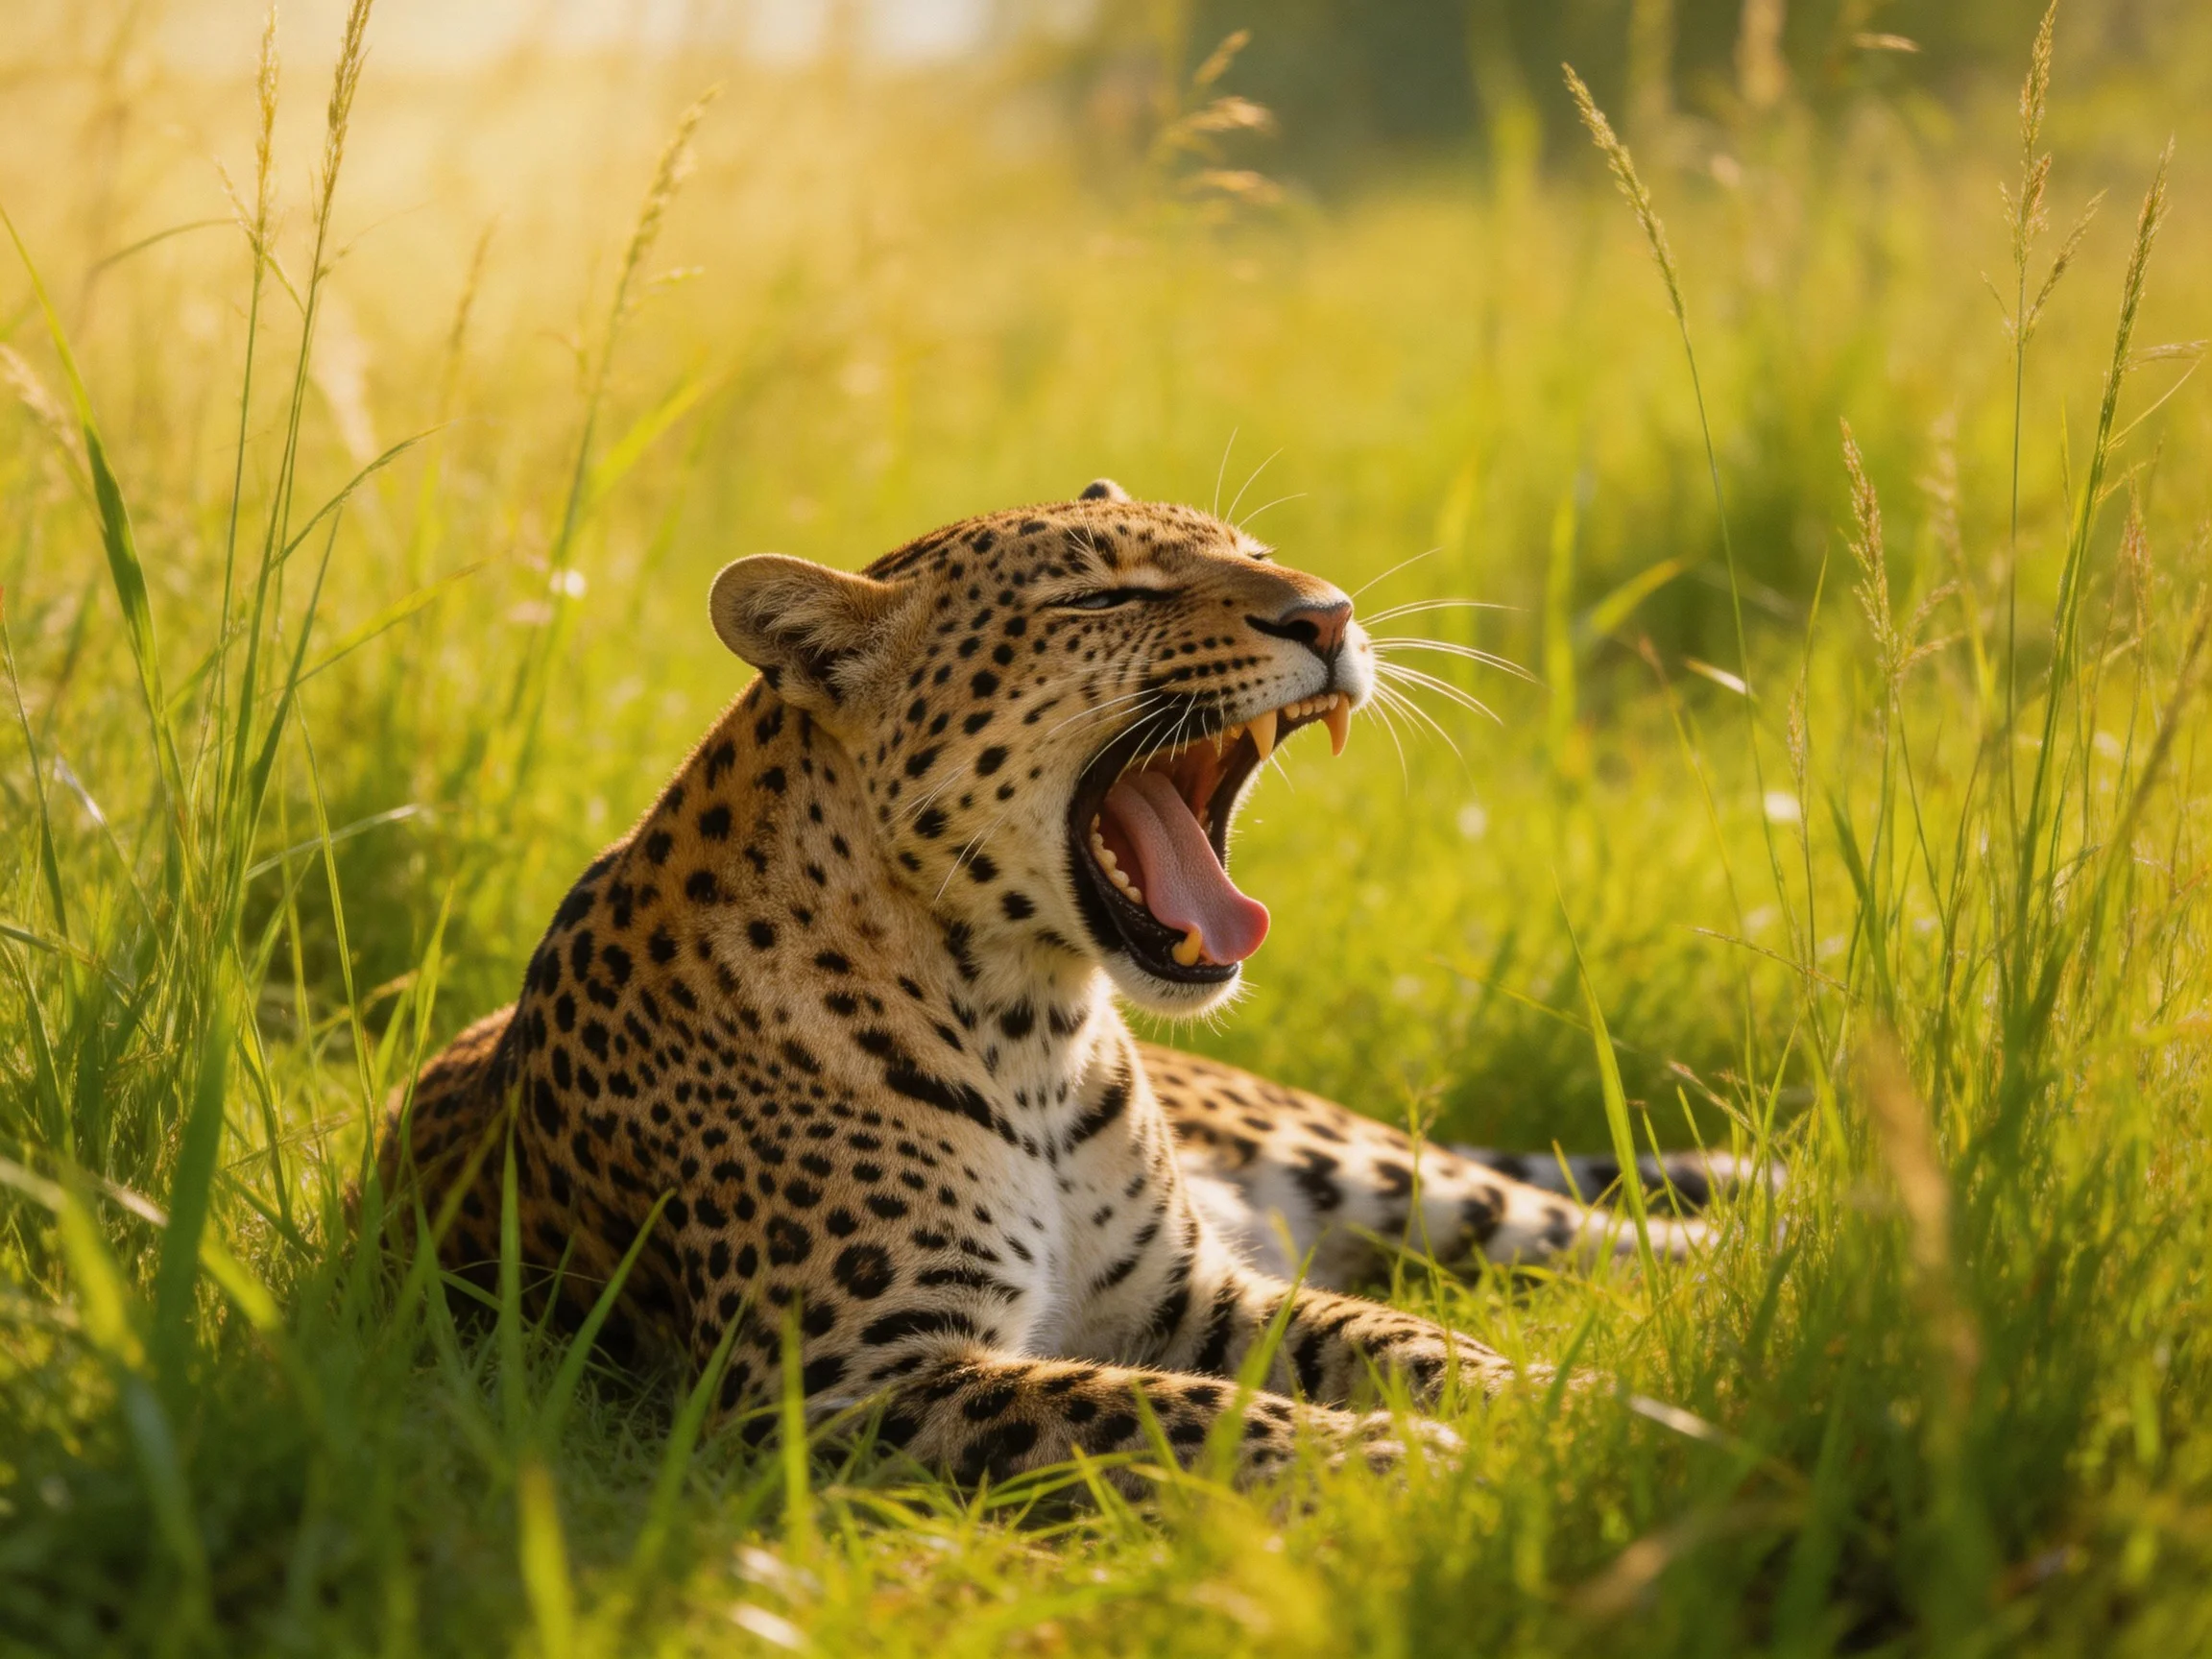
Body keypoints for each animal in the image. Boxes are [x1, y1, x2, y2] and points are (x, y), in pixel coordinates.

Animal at [376, 480, 1763, 1488]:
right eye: (1105, 595)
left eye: (1257, 553)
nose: (1330, 614)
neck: (1030, 1028)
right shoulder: (851, 1384)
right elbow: (1163, 1415)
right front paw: (1402, 1459)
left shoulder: (1191, 1292)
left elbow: (1399, 1339)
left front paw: (1572, 1407)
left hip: (1368, 1172)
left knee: (1588, 1228)